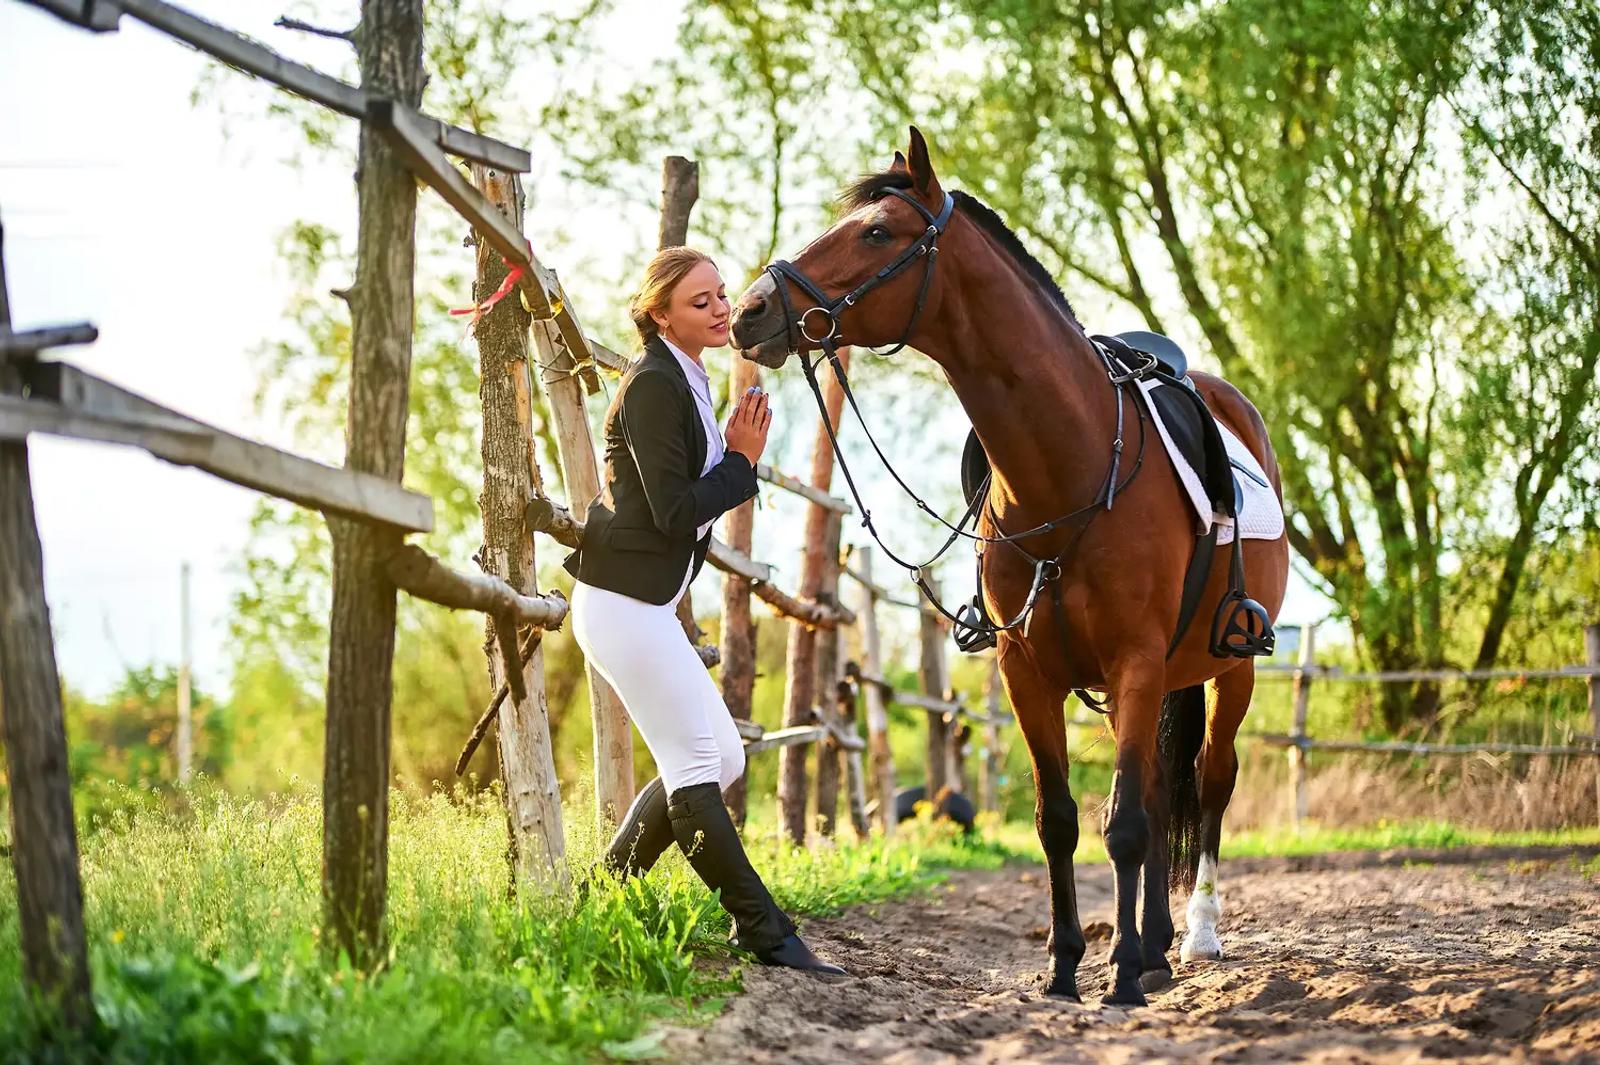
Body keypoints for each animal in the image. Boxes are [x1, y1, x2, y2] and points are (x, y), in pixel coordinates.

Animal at [729, 128, 1289, 1006]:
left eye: (878, 232)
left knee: (1210, 781)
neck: (1073, 462)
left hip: (1231, 668)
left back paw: (1194, 937)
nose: (751, 310)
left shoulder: (1134, 659)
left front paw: (1119, 978)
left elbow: (1127, 823)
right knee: (1159, 789)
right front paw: (1068, 966)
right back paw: (1156, 945)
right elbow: (1061, 818)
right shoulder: (1028, 669)